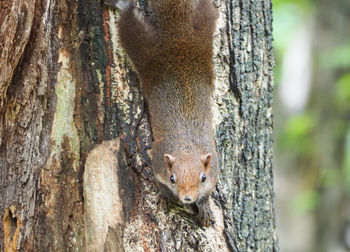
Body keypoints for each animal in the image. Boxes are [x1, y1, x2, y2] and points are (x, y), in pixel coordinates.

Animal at [116, 0, 217, 226]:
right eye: (172, 178)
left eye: (203, 178)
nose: (187, 197)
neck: (186, 147)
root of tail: (177, 35)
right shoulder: (158, 163)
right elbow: (160, 184)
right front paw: (164, 197)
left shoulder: (214, 167)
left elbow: (208, 193)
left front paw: (205, 207)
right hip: (143, 50)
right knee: (128, 22)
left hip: (204, 31)